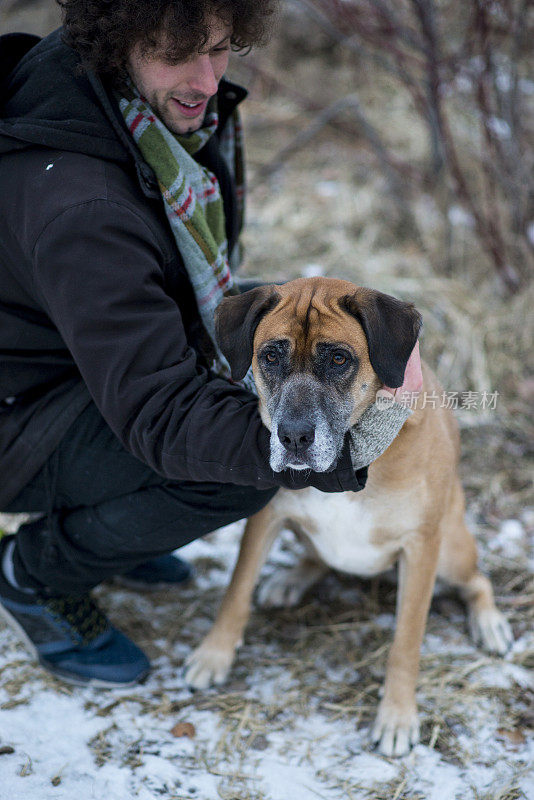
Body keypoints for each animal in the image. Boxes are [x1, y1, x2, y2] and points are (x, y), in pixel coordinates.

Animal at [185, 280, 516, 756]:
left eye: (339, 359)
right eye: (270, 356)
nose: (293, 437)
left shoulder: (421, 548)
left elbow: (406, 642)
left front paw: (397, 717)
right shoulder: (267, 515)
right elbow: (237, 590)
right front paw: (214, 655)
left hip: (451, 550)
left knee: (478, 581)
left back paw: (490, 624)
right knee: (316, 558)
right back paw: (291, 580)